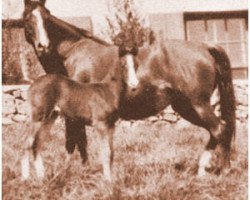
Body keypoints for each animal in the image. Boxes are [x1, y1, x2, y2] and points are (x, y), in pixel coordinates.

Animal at [20, 52, 132, 181]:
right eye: (124, 65)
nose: (134, 83)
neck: (108, 91)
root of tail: (34, 81)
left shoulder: (111, 126)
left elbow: (112, 152)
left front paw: (112, 179)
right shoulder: (101, 125)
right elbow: (106, 152)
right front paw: (108, 181)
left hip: (49, 118)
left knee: (36, 144)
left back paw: (41, 178)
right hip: (38, 116)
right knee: (26, 142)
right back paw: (25, 178)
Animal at [22, 0, 140, 164]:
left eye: (47, 19)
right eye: (27, 18)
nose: (44, 46)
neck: (72, 51)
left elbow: (74, 137)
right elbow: (79, 137)